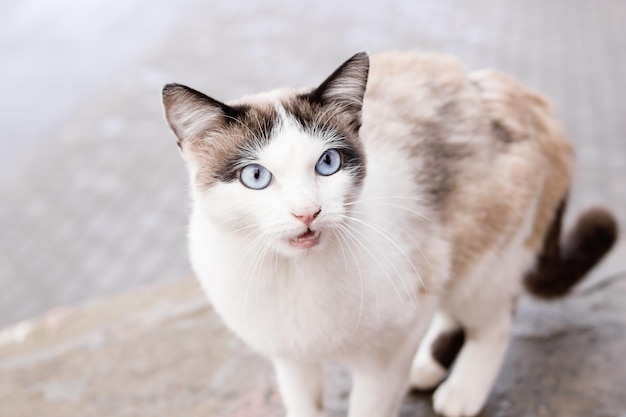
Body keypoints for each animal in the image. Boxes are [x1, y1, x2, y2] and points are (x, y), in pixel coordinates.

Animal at [161, 51, 616, 416]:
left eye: (328, 163)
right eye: (256, 177)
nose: (307, 211)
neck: (294, 274)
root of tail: (518, 91)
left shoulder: (385, 359)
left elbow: (370, 406)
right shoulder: (292, 359)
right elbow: (304, 404)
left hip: (486, 258)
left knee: (495, 320)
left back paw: (462, 391)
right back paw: (427, 367)